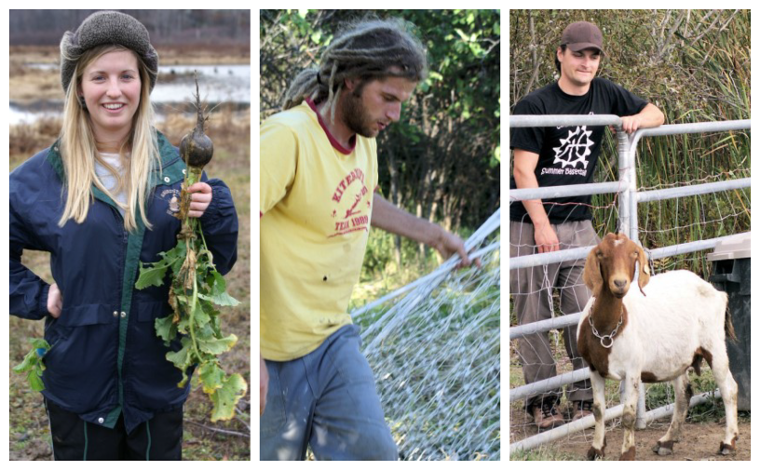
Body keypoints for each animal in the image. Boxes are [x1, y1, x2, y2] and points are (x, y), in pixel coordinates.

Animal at [576, 233, 736, 460]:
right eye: (602, 254)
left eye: (634, 253)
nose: (620, 283)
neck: (608, 328)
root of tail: (716, 291)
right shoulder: (593, 367)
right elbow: (598, 411)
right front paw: (596, 450)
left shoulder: (633, 370)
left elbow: (628, 415)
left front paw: (627, 454)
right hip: (678, 357)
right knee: (684, 394)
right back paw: (667, 441)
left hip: (714, 343)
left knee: (729, 388)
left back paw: (728, 442)